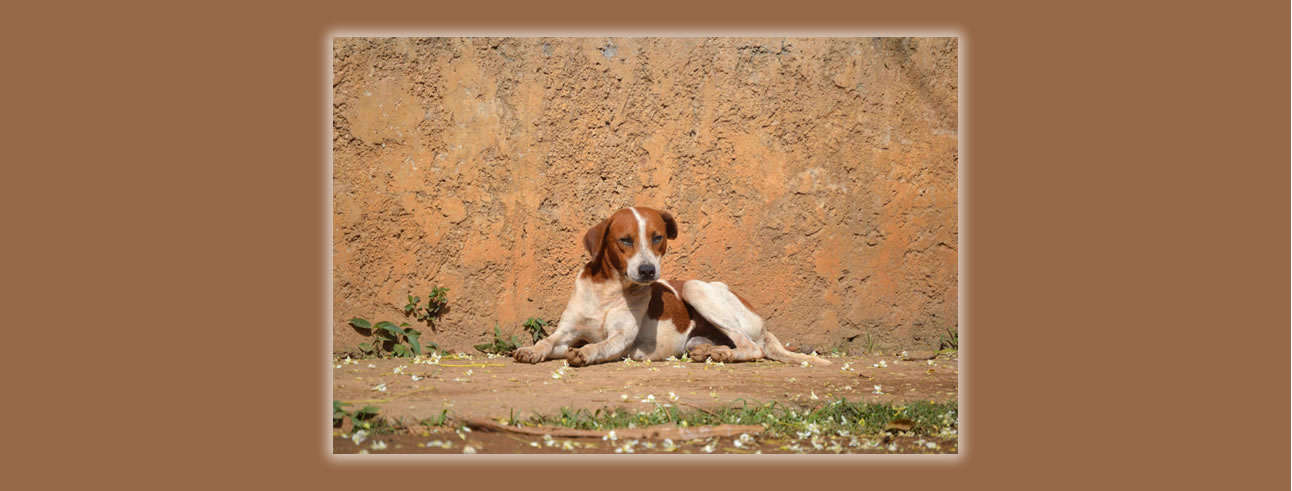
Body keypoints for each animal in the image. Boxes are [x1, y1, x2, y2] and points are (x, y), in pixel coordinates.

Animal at [509, 205, 832, 366]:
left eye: (657, 238)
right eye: (625, 240)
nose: (648, 270)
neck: (608, 292)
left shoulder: (621, 337)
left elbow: (601, 345)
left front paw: (586, 353)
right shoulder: (568, 331)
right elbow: (548, 342)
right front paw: (531, 350)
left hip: (695, 288)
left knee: (753, 348)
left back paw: (725, 354)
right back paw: (712, 352)